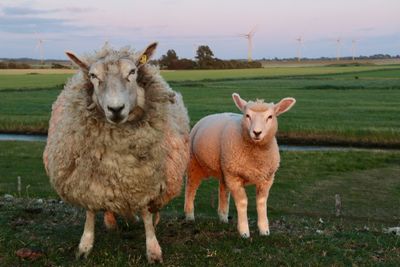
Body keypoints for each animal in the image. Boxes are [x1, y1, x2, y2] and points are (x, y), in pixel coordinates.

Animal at [43, 42, 190, 264]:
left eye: (132, 72)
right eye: (93, 75)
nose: (115, 108)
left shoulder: (145, 180)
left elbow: (146, 213)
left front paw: (153, 250)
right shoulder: (86, 178)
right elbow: (90, 210)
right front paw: (85, 245)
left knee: (152, 209)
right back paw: (111, 220)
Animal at [184, 93, 294, 239]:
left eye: (270, 117)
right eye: (247, 115)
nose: (257, 133)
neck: (255, 155)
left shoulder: (267, 178)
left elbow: (261, 202)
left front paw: (264, 230)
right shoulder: (235, 177)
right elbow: (242, 202)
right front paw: (244, 232)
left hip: (225, 169)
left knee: (223, 191)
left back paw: (223, 217)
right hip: (195, 164)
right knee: (191, 188)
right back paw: (189, 215)